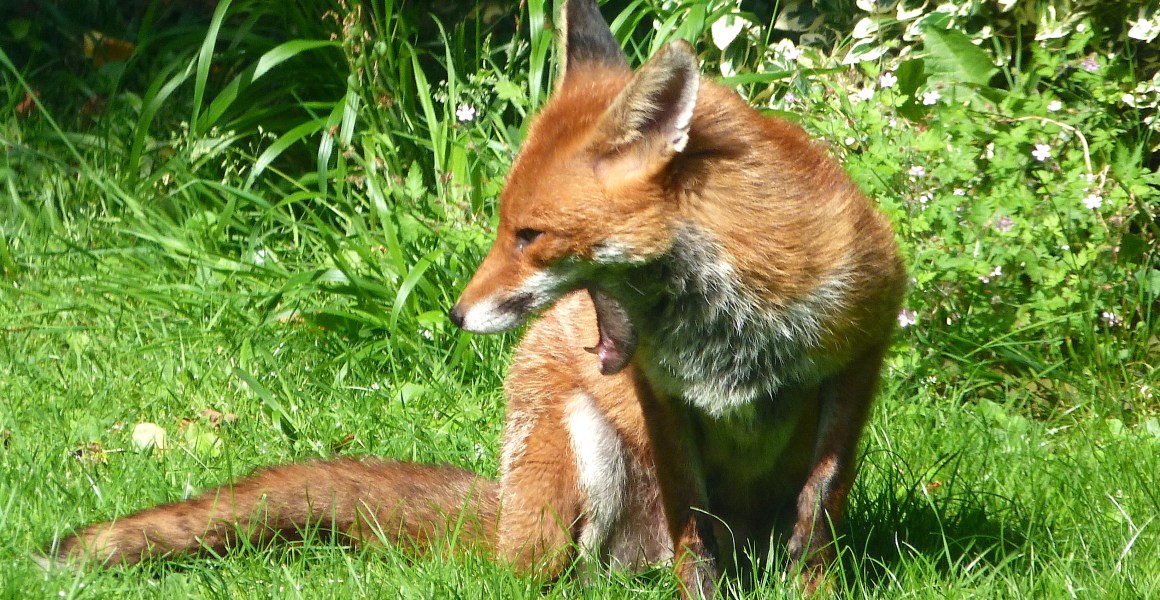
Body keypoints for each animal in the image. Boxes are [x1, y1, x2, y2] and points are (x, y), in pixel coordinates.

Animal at [41, 0, 905, 597]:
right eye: (501, 225)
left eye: (529, 235)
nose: (455, 316)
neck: (727, 316)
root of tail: (498, 515)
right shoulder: (660, 393)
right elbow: (697, 537)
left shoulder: (859, 349)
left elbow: (818, 514)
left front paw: (814, 589)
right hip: (573, 458)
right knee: (555, 576)